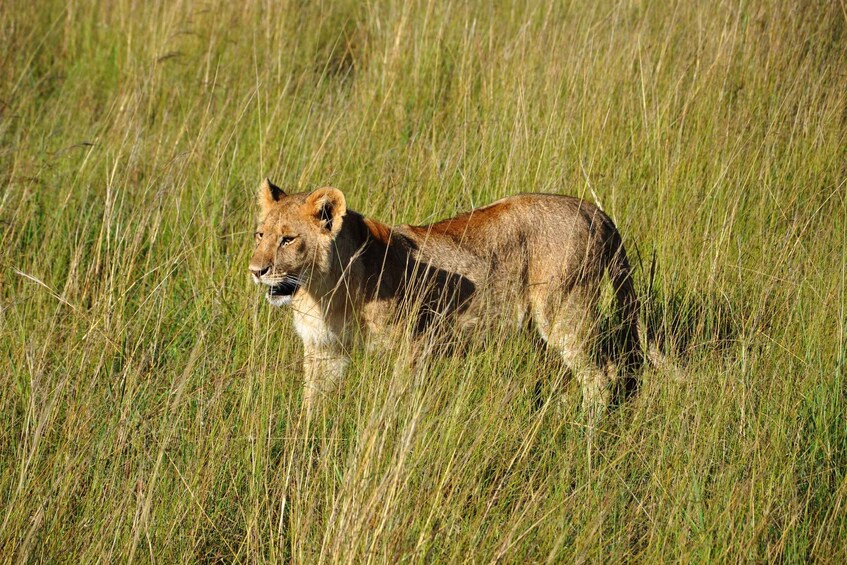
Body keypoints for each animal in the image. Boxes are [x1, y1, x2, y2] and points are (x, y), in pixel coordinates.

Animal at [249, 178, 644, 422]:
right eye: (260, 235)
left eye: (288, 239)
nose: (256, 270)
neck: (322, 291)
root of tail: (593, 210)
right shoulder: (325, 350)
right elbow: (313, 401)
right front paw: (305, 442)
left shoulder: (416, 342)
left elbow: (399, 399)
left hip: (564, 312)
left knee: (602, 376)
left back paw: (584, 429)